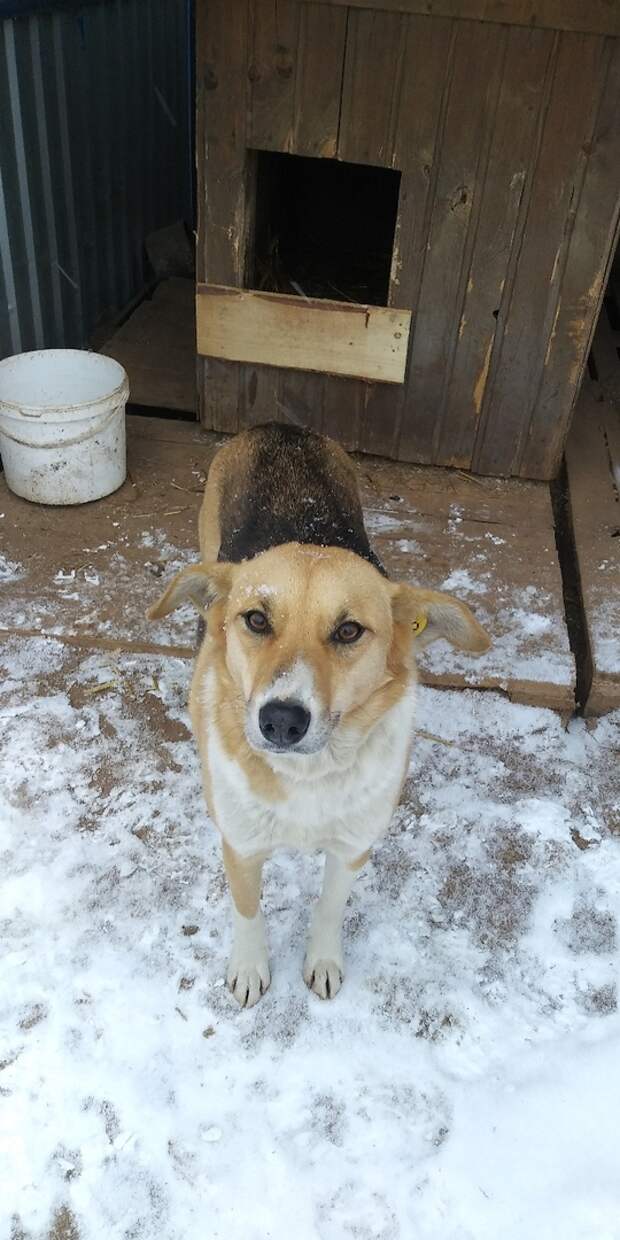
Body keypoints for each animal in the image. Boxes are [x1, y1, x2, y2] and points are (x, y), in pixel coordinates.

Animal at [147, 426, 491, 1006]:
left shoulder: (353, 847)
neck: (308, 775)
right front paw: (249, 968)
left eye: (349, 631)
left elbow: (330, 908)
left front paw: (323, 961)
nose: (282, 721)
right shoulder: (240, 845)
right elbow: (248, 911)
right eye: (256, 620)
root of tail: (280, 428)